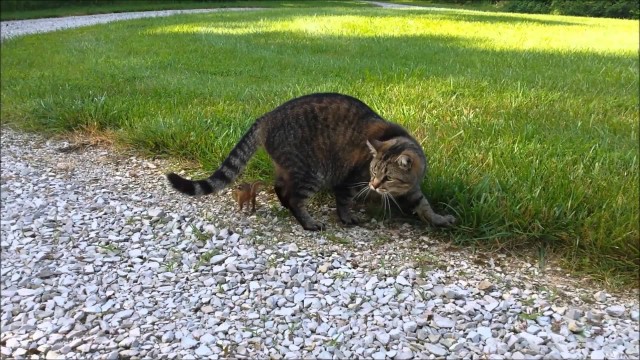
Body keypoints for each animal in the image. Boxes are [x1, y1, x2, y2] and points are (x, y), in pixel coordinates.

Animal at [166, 93, 456, 231]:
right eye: (373, 172)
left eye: (387, 176)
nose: (374, 185)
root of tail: (268, 115)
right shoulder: (349, 180)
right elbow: (344, 201)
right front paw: (346, 216)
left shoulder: (413, 188)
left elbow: (424, 205)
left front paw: (439, 219)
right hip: (312, 171)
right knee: (294, 196)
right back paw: (307, 221)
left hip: (290, 168)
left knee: (281, 188)